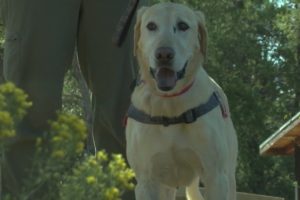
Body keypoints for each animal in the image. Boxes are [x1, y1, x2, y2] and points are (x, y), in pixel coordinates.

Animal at [125, 1, 238, 200]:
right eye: (151, 26)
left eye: (183, 26)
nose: (163, 54)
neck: (170, 106)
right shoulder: (147, 182)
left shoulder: (216, 177)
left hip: (228, 177)